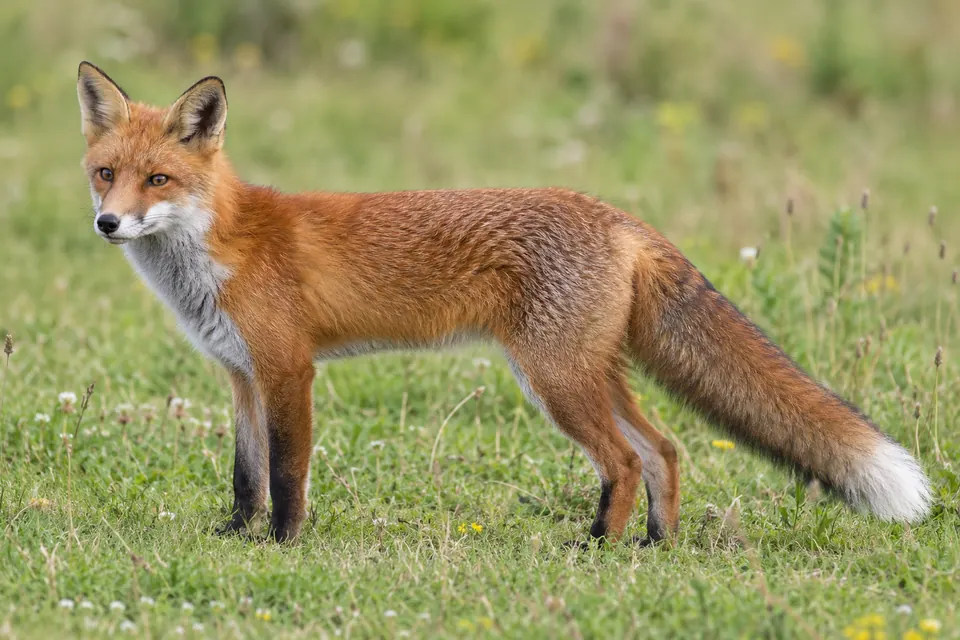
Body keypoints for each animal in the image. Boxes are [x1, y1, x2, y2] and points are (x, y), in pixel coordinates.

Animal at [76, 61, 931, 545]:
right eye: (105, 173)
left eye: (158, 180)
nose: (107, 224)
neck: (216, 248)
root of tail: (613, 213)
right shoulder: (241, 376)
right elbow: (245, 476)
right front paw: (234, 535)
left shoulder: (288, 371)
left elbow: (287, 475)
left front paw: (282, 546)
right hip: (588, 374)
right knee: (664, 449)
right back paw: (653, 545)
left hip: (553, 379)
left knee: (625, 459)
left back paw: (595, 545)